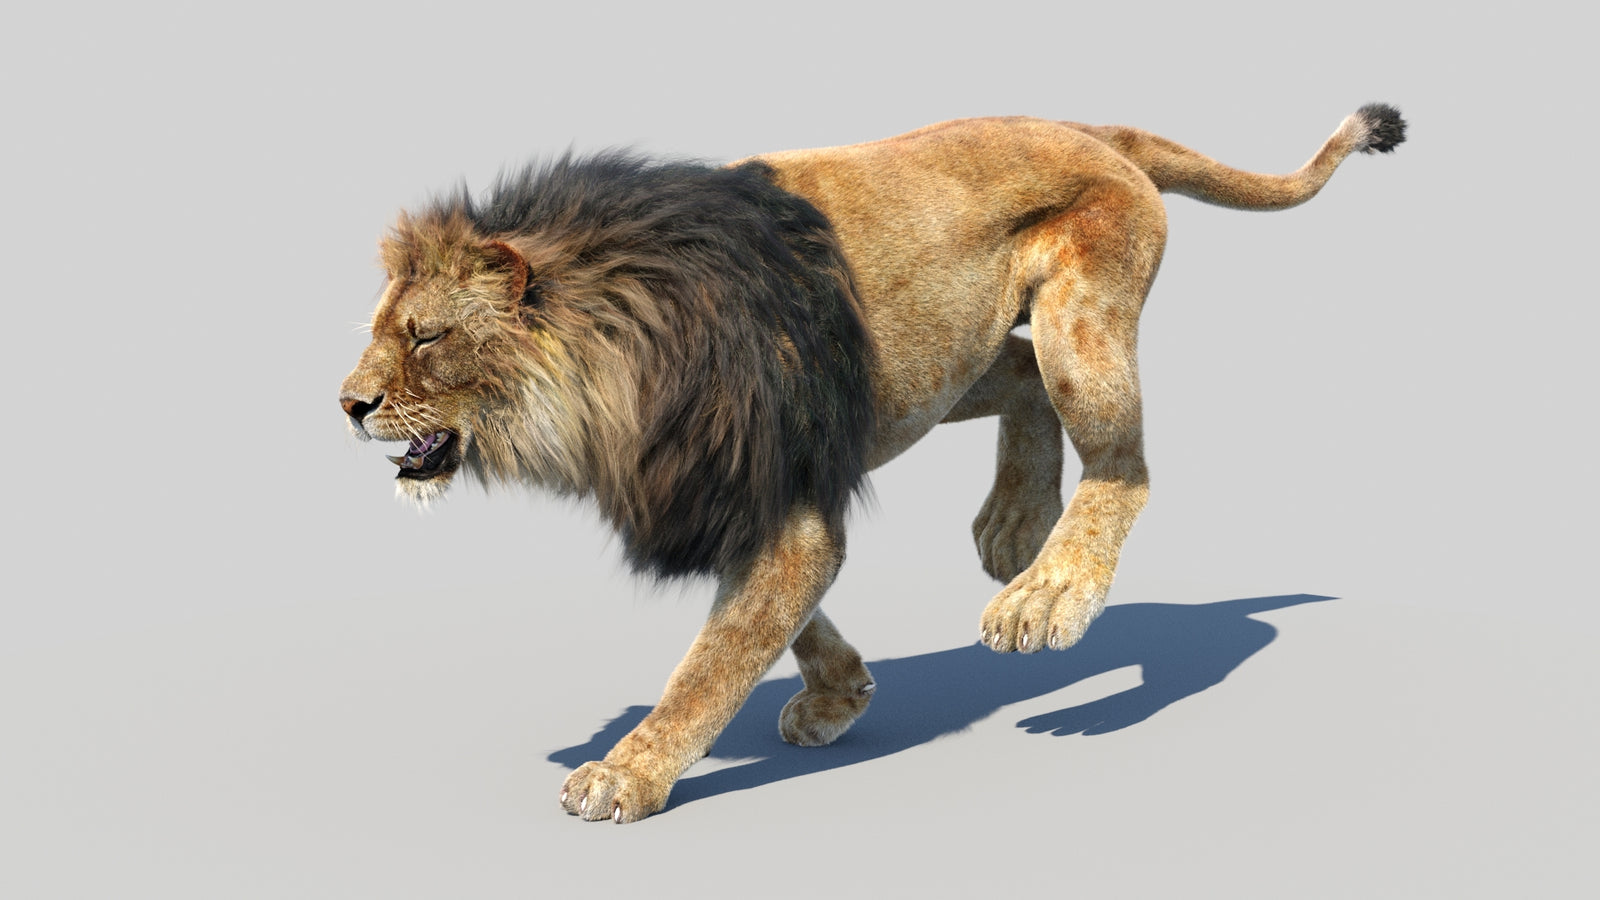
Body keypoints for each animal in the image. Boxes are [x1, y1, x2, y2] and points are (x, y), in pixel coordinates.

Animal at [340, 104, 1406, 823]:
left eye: (427, 337)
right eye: (379, 332)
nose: (346, 405)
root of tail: (1086, 125)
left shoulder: (774, 498)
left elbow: (715, 657)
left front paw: (626, 772)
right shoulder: (746, 488)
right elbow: (768, 618)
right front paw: (841, 694)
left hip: (1080, 325)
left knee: (1125, 464)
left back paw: (1046, 592)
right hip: (932, 368)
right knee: (1022, 376)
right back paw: (1014, 525)